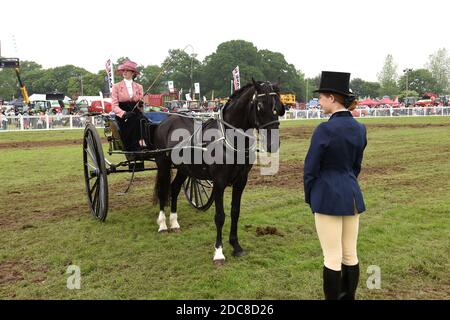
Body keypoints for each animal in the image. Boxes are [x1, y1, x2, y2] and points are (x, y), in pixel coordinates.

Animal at [153, 79, 284, 264]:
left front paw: (236, 246)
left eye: (278, 105)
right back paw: (163, 224)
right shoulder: (219, 182)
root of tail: (167, 120)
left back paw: (174, 222)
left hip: (184, 169)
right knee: (163, 191)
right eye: (259, 105)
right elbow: (220, 216)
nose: (273, 143)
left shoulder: (241, 181)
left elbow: (235, 212)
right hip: (163, 165)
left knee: (175, 188)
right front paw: (219, 252)